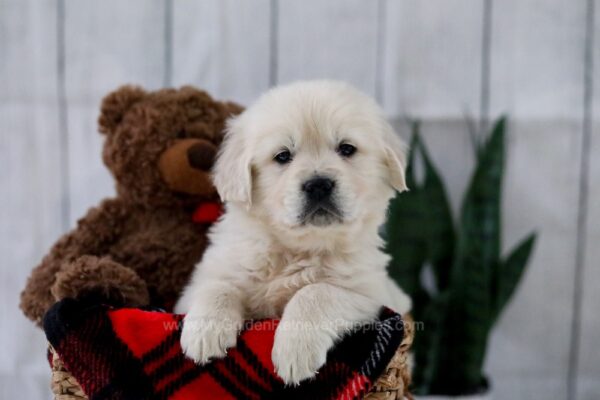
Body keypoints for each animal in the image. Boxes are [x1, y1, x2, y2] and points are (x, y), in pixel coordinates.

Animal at [177, 80, 412, 384]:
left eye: (347, 149)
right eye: (283, 156)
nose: (319, 185)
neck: (297, 249)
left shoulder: (370, 294)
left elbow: (315, 291)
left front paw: (295, 352)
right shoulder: (199, 284)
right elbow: (217, 286)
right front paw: (205, 334)